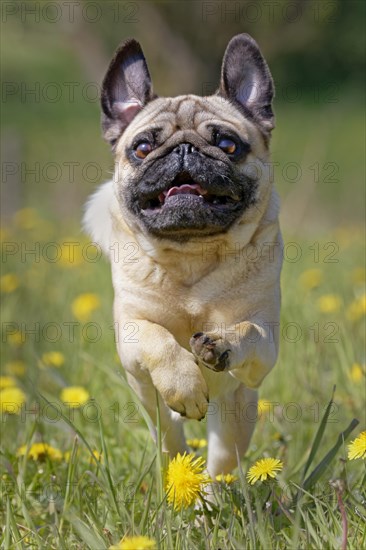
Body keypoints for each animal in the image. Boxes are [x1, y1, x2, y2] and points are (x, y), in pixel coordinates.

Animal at [83, 33, 284, 478]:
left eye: (228, 144)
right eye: (142, 148)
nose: (185, 150)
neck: (192, 253)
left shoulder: (266, 345)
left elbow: (247, 330)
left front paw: (220, 343)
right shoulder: (131, 332)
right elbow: (157, 338)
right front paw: (184, 382)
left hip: (236, 417)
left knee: (220, 465)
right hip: (152, 407)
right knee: (170, 438)